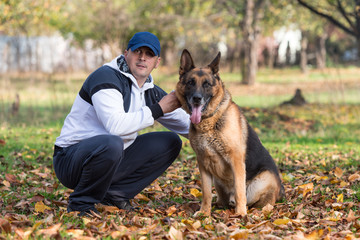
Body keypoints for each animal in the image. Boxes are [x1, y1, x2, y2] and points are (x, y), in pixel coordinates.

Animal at [176, 49, 286, 217]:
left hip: (262, 180)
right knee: (222, 200)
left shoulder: (236, 160)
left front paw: (240, 214)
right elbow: (206, 193)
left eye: (207, 84)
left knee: (260, 202)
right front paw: (204, 213)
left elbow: (240, 191)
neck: (209, 123)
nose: (197, 99)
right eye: (190, 83)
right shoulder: (203, 163)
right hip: (218, 181)